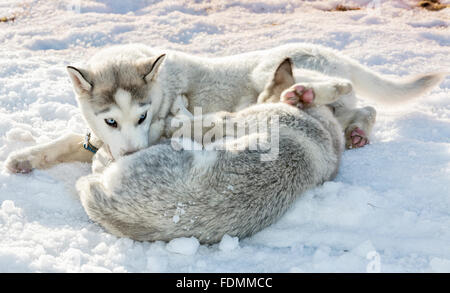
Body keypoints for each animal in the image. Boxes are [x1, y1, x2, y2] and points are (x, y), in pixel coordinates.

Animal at [5, 42, 444, 172]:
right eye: (110, 120)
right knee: (363, 110)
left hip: (270, 70)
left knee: (345, 90)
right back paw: (356, 132)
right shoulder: (97, 135)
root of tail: (328, 51)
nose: (129, 157)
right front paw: (26, 158)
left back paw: (307, 94)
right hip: (337, 108)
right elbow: (68, 140)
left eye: (142, 116)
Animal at [76, 58, 344, 242]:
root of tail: (111, 210)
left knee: (100, 166)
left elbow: (193, 121)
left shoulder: (231, 119)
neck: (320, 128)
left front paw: (178, 110)